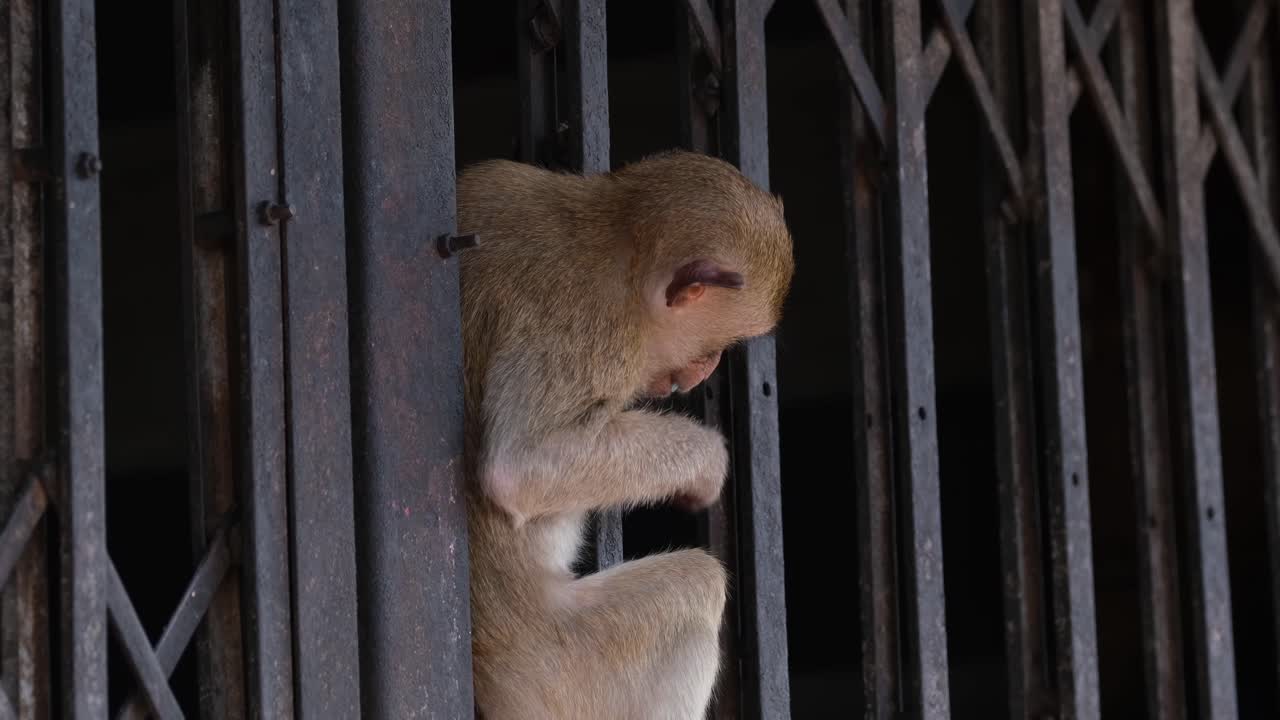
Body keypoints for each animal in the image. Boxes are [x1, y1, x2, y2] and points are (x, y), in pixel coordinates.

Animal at [456, 150, 793, 720]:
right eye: (714, 348)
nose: (703, 372)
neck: (615, 239)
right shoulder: (598, 328)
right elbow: (520, 467)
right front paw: (707, 463)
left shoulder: (491, 181)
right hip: (564, 672)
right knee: (696, 586)